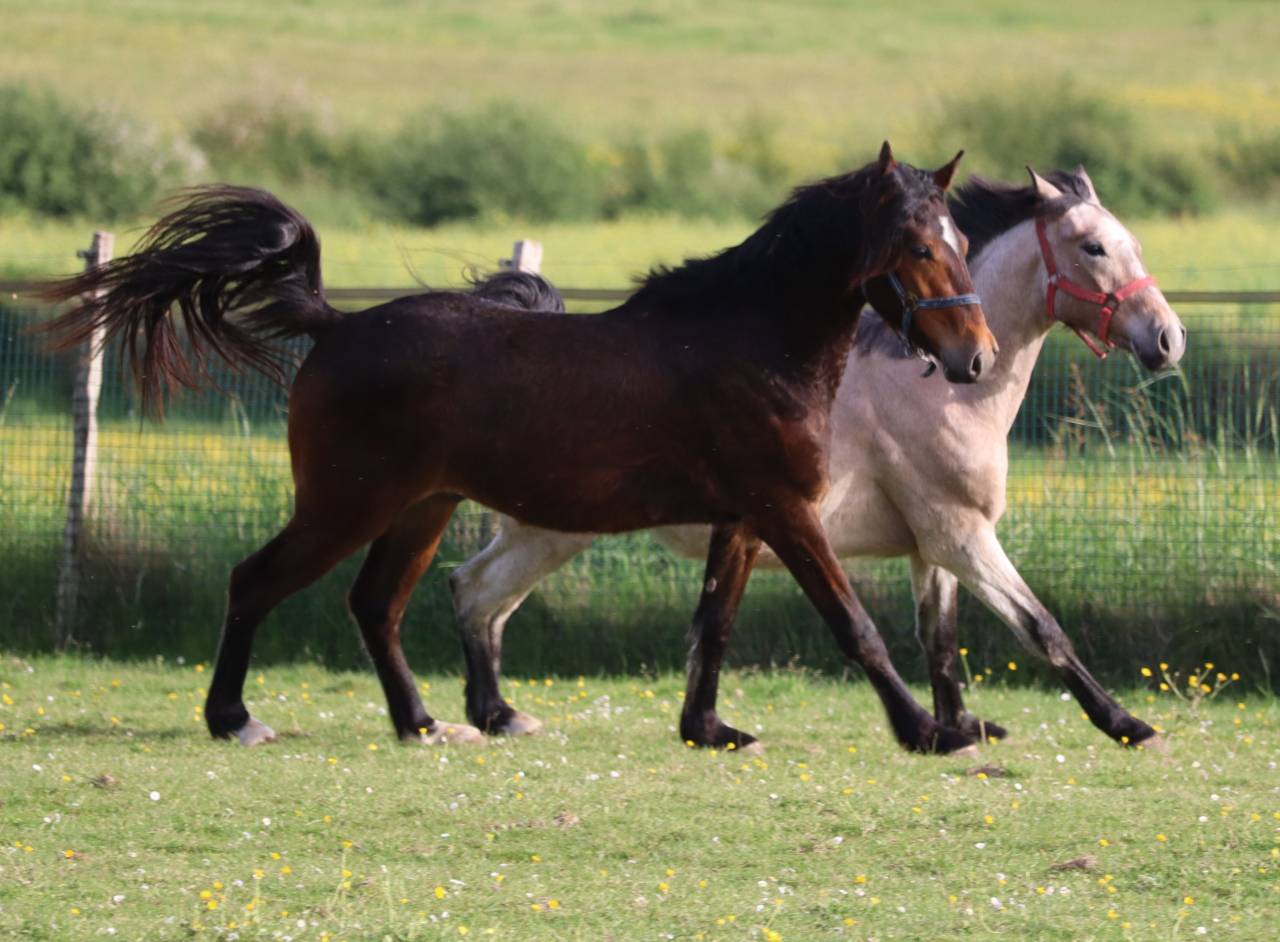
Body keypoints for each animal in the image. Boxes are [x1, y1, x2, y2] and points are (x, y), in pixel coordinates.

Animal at [40, 143, 998, 754]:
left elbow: (715, 627)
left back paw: (428, 724)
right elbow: (854, 625)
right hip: (348, 503)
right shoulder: (784, 510)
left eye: (960, 242)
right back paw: (235, 718)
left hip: (421, 507)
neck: (748, 337)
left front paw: (708, 730)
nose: (975, 358)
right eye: (918, 246)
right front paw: (930, 732)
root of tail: (338, 325)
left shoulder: (745, 518)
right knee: (257, 582)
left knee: (375, 604)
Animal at [448, 165, 1185, 752]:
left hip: (546, 529)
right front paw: (1128, 725)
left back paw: (497, 715)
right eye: (1093, 246)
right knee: (476, 592)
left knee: (477, 593)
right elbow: (1041, 628)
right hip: (554, 528)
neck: (938, 390)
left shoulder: (931, 546)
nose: (1168, 339)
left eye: (1134, 243)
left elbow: (940, 641)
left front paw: (960, 725)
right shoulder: (958, 534)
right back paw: (483, 717)